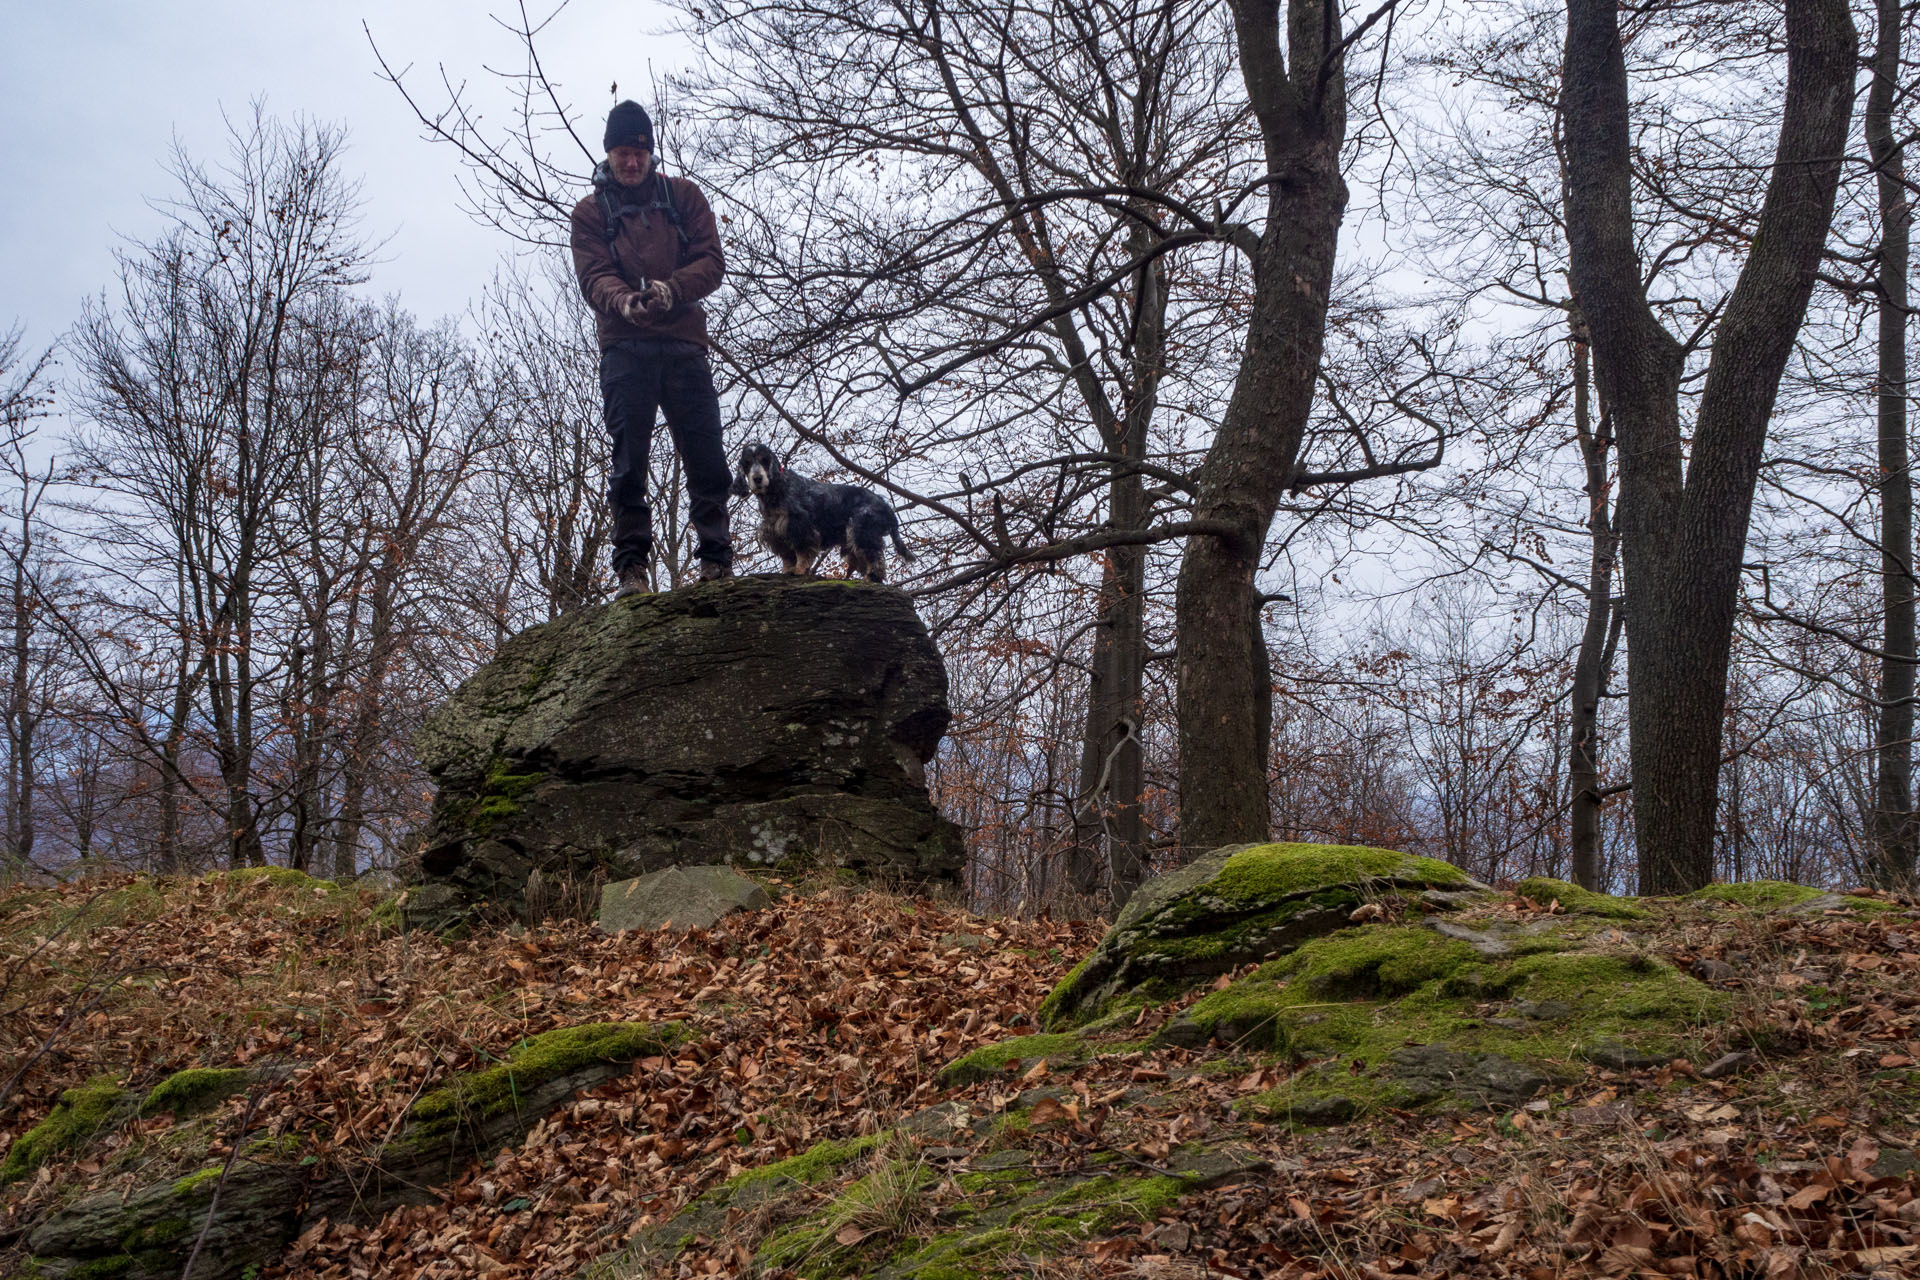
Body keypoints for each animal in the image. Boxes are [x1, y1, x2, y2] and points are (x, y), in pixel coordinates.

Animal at [729, 441, 917, 579]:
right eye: (747, 463)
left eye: (765, 460)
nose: (757, 478)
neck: (775, 492)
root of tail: (887, 507)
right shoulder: (777, 532)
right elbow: (788, 556)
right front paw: (788, 570)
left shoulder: (799, 526)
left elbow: (802, 552)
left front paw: (799, 570)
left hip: (861, 530)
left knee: (875, 558)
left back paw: (873, 577)